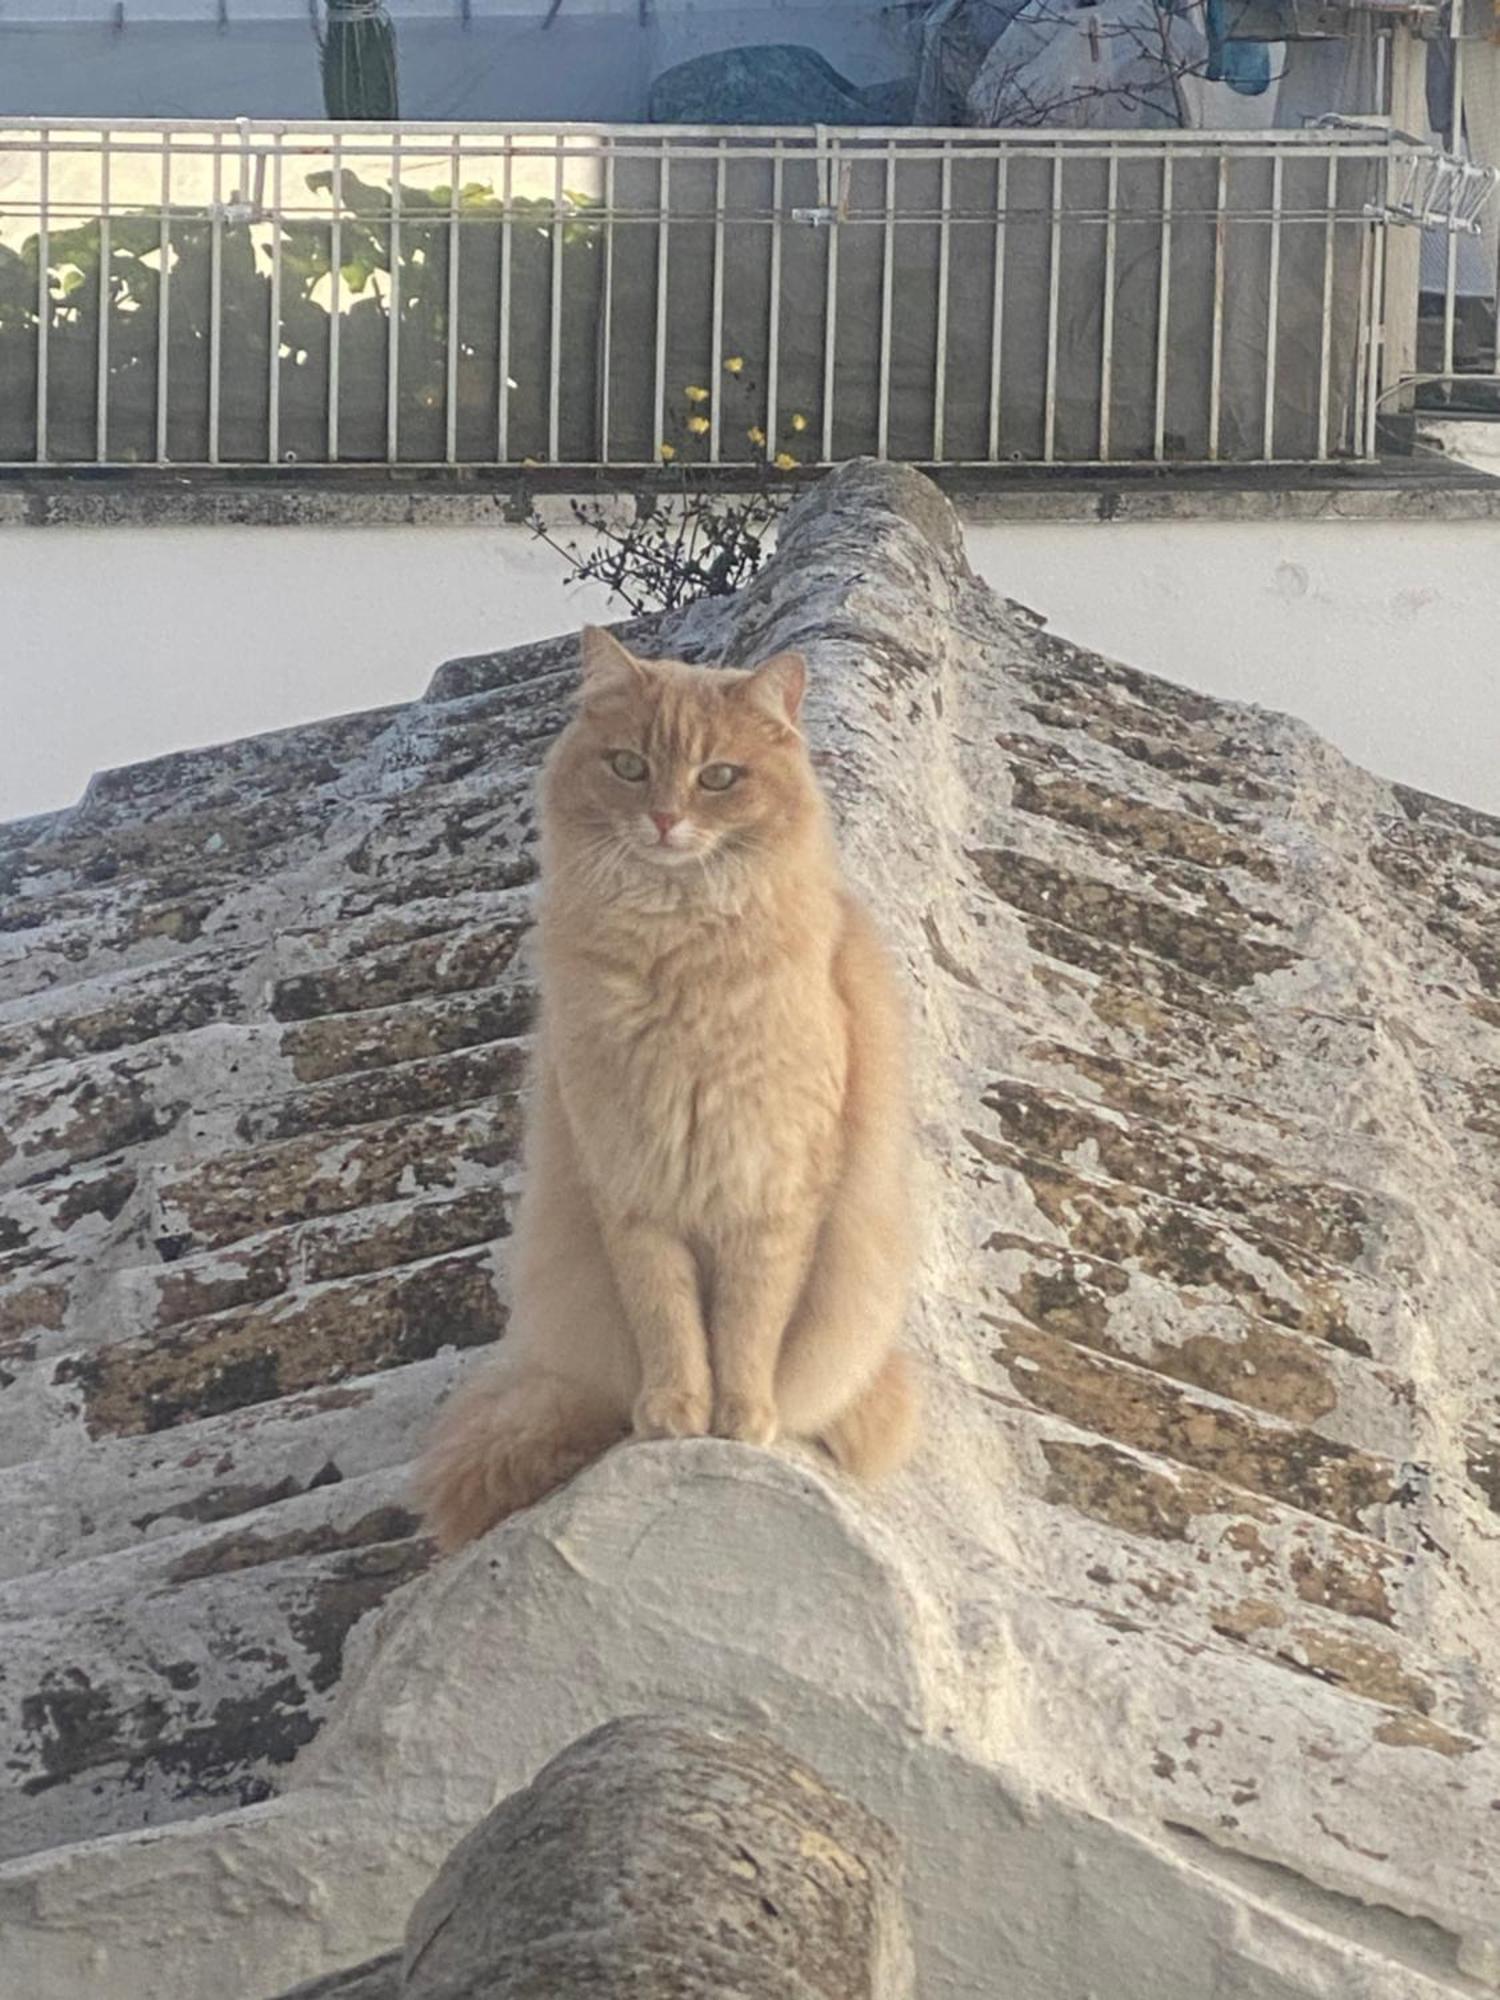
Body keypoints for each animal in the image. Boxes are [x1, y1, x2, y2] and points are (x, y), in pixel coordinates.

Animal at [418, 620, 924, 1544]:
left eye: (718, 777)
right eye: (629, 766)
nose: (664, 819)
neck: (676, 961)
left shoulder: (768, 1202)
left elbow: (748, 1329)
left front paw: (741, 1420)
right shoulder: (636, 1197)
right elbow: (672, 1324)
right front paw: (677, 1414)